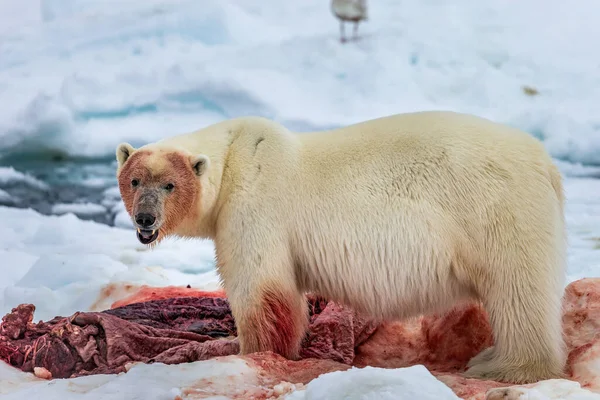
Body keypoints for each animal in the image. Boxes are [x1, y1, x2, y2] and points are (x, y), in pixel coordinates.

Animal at [116, 110, 568, 384]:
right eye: (134, 180)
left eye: (169, 185)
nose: (145, 219)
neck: (234, 157)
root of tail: (545, 162)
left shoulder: (253, 206)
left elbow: (262, 291)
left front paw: (246, 350)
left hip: (494, 210)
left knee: (517, 291)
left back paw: (503, 365)